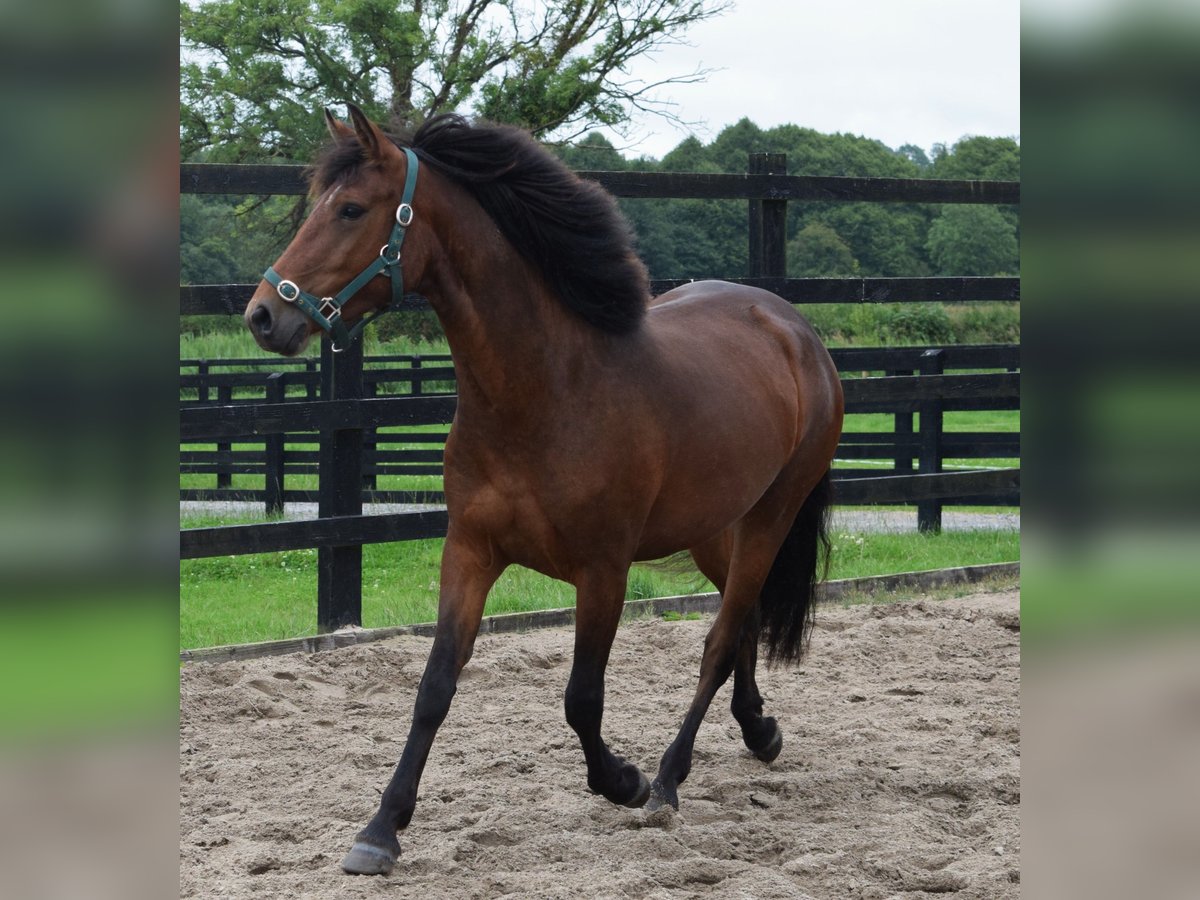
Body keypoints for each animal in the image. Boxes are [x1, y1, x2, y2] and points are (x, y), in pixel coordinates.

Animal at [243, 103, 844, 873]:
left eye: (349, 209)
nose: (264, 315)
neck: (545, 390)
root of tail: (794, 328)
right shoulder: (470, 551)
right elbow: (434, 686)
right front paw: (380, 830)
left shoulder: (603, 569)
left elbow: (581, 699)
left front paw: (624, 780)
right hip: (715, 528)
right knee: (742, 622)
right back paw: (758, 730)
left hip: (771, 514)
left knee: (721, 636)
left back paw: (668, 782)